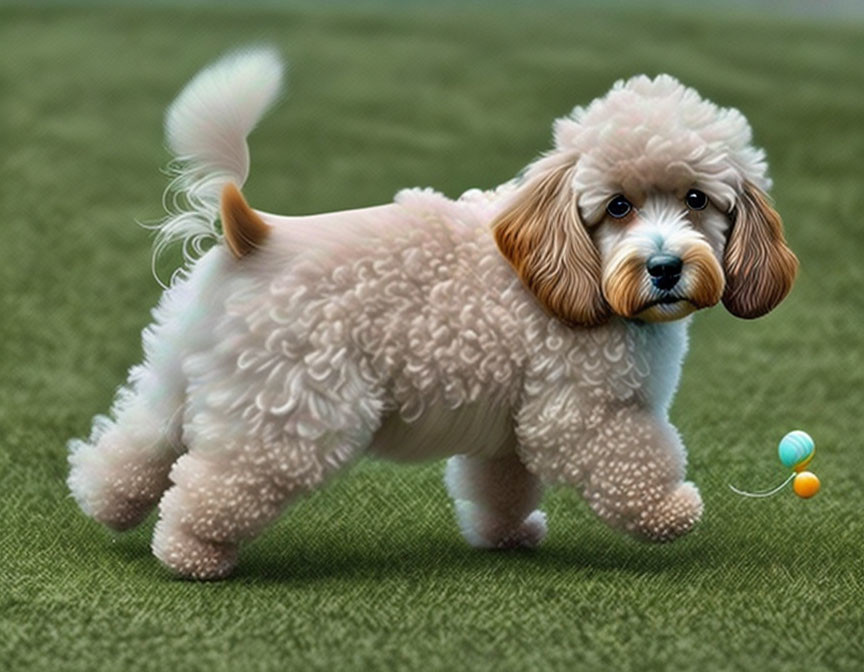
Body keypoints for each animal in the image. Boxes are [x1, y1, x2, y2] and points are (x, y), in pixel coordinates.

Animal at [67, 48, 796, 576]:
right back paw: (192, 554)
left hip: (179, 375)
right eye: (617, 206)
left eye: (698, 199)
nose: (666, 267)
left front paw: (507, 536)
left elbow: (501, 484)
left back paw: (106, 503)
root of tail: (256, 233)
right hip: (293, 416)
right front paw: (672, 511)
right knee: (210, 485)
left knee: (133, 444)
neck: (568, 267)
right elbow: (634, 464)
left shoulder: (512, 421)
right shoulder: (586, 410)